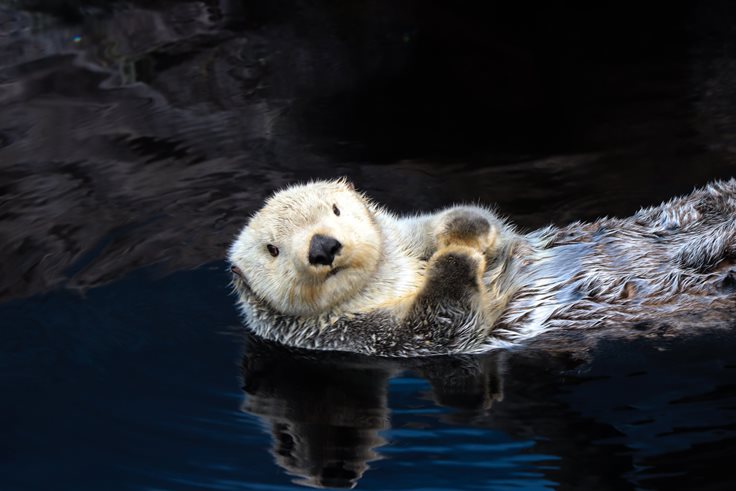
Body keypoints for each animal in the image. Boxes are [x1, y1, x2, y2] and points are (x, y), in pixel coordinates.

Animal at [229, 178, 736, 356]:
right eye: (273, 249)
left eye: (335, 209)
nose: (323, 246)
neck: (389, 280)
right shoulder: (363, 338)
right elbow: (444, 323)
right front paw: (456, 258)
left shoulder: (409, 234)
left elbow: (484, 227)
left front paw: (463, 230)